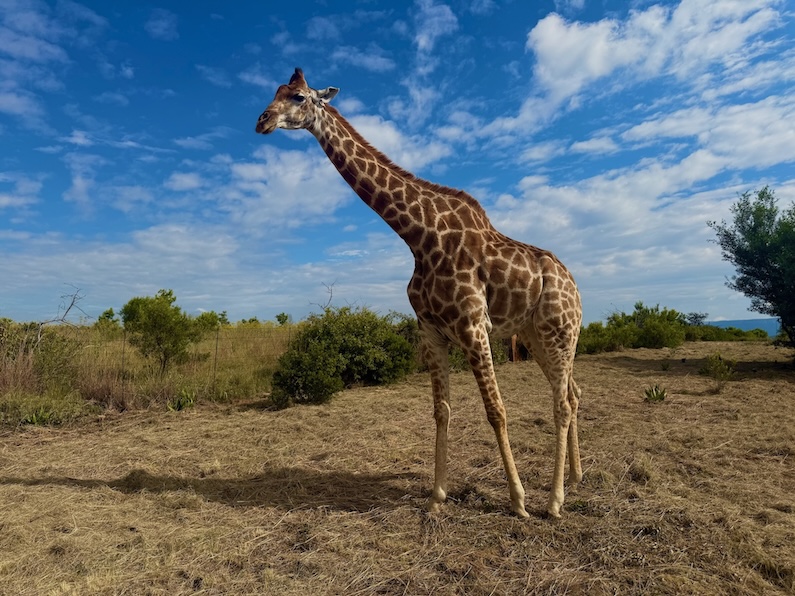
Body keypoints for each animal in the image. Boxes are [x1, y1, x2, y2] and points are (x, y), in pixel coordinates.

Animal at [256, 68, 583, 518]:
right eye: (275, 92)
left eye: (300, 97)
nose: (262, 121)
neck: (419, 237)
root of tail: (575, 286)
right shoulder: (430, 330)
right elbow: (440, 411)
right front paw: (436, 496)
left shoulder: (473, 326)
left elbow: (496, 411)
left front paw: (517, 501)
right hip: (536, 337)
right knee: (572, 393)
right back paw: (575, 478)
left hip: (559, 332)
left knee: (563, 402)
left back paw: (553, 501)